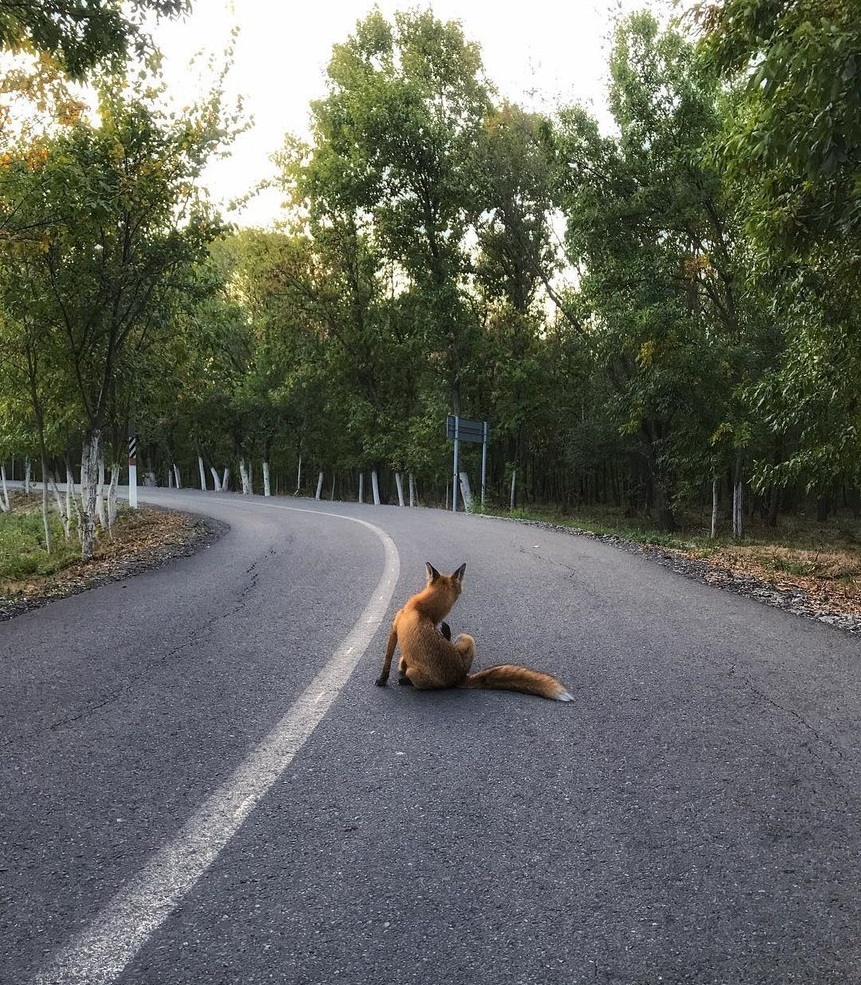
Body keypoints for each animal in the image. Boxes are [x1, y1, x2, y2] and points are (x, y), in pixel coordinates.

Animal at [374, 560, 572, 700]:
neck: (422, 609)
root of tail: (461, 678)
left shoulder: (394, 629)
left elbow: (387, 660)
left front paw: (382, 680)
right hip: (467, 638)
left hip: (417, 673)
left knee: (415, 679)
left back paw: (404, 681)